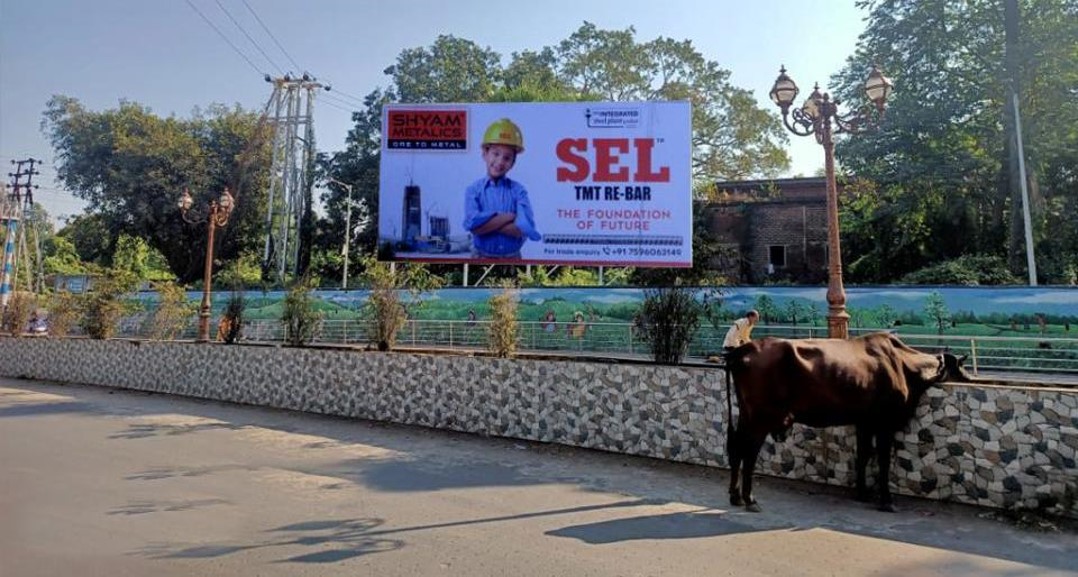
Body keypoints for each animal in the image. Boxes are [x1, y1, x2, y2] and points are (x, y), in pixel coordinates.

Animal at [724, 332, 978, 513]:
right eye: (961, 367)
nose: (971, 379)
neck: (902, 364)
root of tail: (741, 351)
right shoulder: (885, 423)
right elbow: (883, 459)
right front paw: (886, 500)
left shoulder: (865, 422)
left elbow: (863, 454)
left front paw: (862, 492)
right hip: (760, 418)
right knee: (748, 452)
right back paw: (749, 498)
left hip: (746, 414)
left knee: (736, 448)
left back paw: (735, 496)